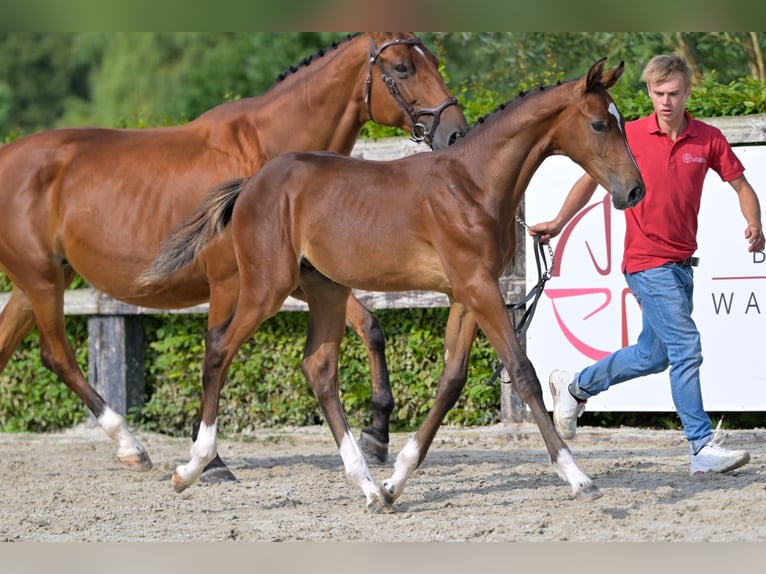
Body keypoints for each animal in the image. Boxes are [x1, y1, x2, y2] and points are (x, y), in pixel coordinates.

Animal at [0, 32, 468, 482]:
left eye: (434, 61)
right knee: (57, 355)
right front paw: (210, 461)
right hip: (41, 280)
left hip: (36, 283)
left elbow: (370, 327)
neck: (268, 155)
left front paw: (377, 433)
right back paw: (131, 446)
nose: (456, 134)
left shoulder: (300, 279)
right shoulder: (230, 282)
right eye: (403, 67)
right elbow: (217, 351)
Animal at [146, 57, 648, 508]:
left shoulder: (468, 294)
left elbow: (451, 380)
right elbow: (522, 373)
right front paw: (578, 477)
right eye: (600, 124)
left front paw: (395, 482)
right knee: (219, 348)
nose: (634, 190)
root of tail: (252, 183)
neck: (473, 185)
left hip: (326, 289)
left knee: (319, 368)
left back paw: (368, 485)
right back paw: (193, 467)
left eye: (622, 122)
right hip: (266, 287)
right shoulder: (479, 289)